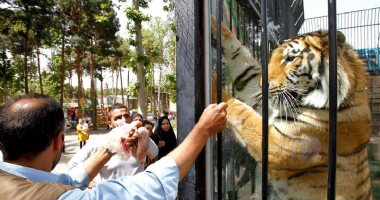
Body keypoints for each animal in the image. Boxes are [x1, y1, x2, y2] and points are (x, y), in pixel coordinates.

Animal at [212, 16, 372, 199]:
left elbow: (242, 112)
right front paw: (217, 25)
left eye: (290, 58)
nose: (261, 84)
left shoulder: (277, 145)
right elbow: (246, 65)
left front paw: (213, 84)